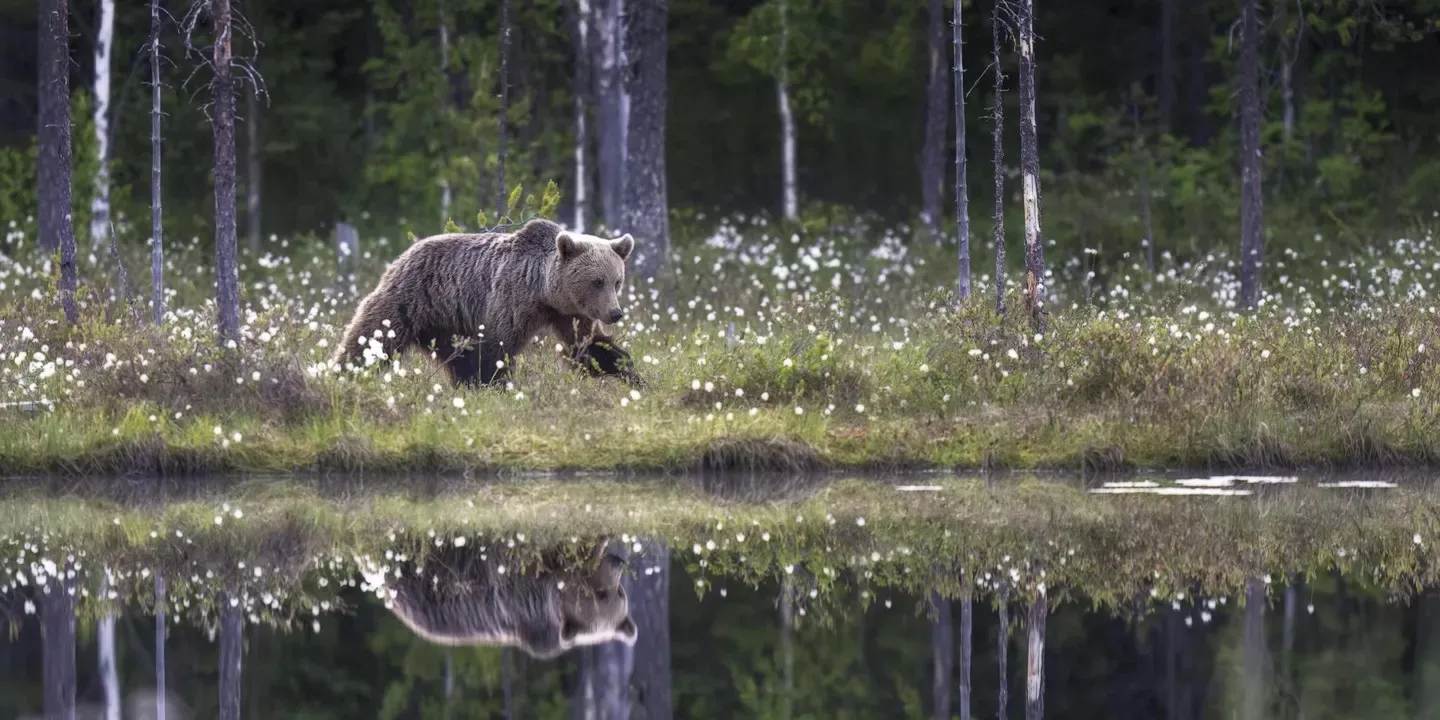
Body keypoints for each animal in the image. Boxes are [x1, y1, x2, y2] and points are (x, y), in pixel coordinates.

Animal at [331, 217, 642, 385]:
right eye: (597, 281)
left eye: (617, 281)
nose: (615, 313)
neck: (543, 292)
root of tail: (402, 256)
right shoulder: (509, 298)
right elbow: (497, 348)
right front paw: (497, 385)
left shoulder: (571, 314)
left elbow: (587, 348)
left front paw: (631, 373)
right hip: (409, 302)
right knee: (370, 339)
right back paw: (342, 375)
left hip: (448, 324)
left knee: (460, 360)